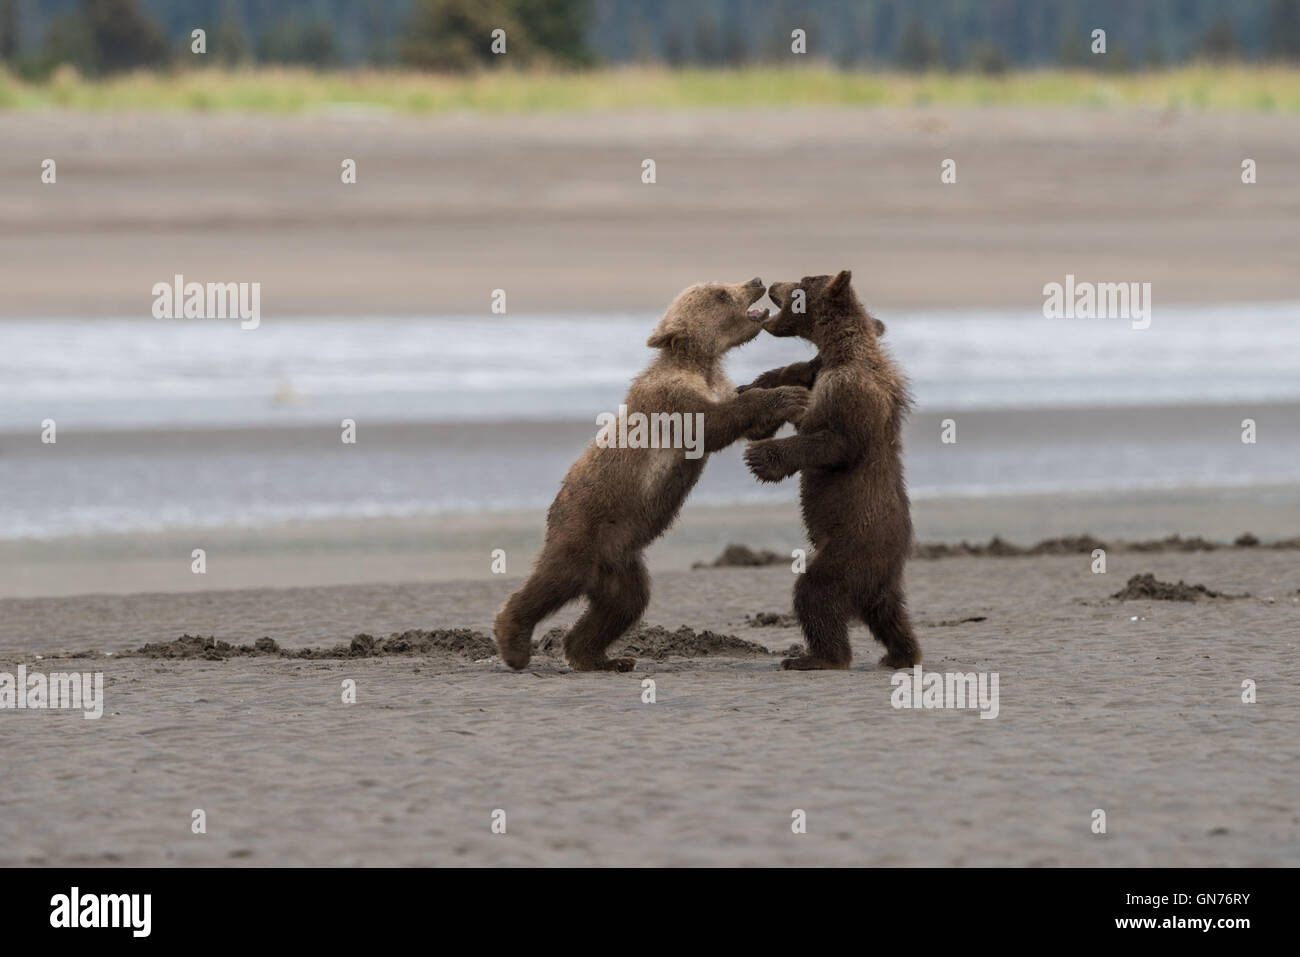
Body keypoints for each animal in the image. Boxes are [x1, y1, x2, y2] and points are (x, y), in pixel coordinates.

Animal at [494, 278, 811, 672]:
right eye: (721, 293)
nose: (755, 281)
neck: (701, 366)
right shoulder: (671, 399)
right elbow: (712, 424)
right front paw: (789, 395)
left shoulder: (714, 386)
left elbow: (746, 423)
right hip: (582, 528)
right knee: (554, 579)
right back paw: (514, 641)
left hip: (621, 560)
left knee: (624, 605)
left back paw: (601, 657)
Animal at [739, 270, 921, 671]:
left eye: (802, 281)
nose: (773, 283)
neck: (842, 351)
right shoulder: (820, 370)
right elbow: (794, 376)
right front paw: (752, 389)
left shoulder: (849, 392)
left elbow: (833, 442)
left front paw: (762, 457)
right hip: (877, 574)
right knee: (888, 612)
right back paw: (901, 654)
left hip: (854, 545)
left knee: (817, 591)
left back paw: (817, 657)